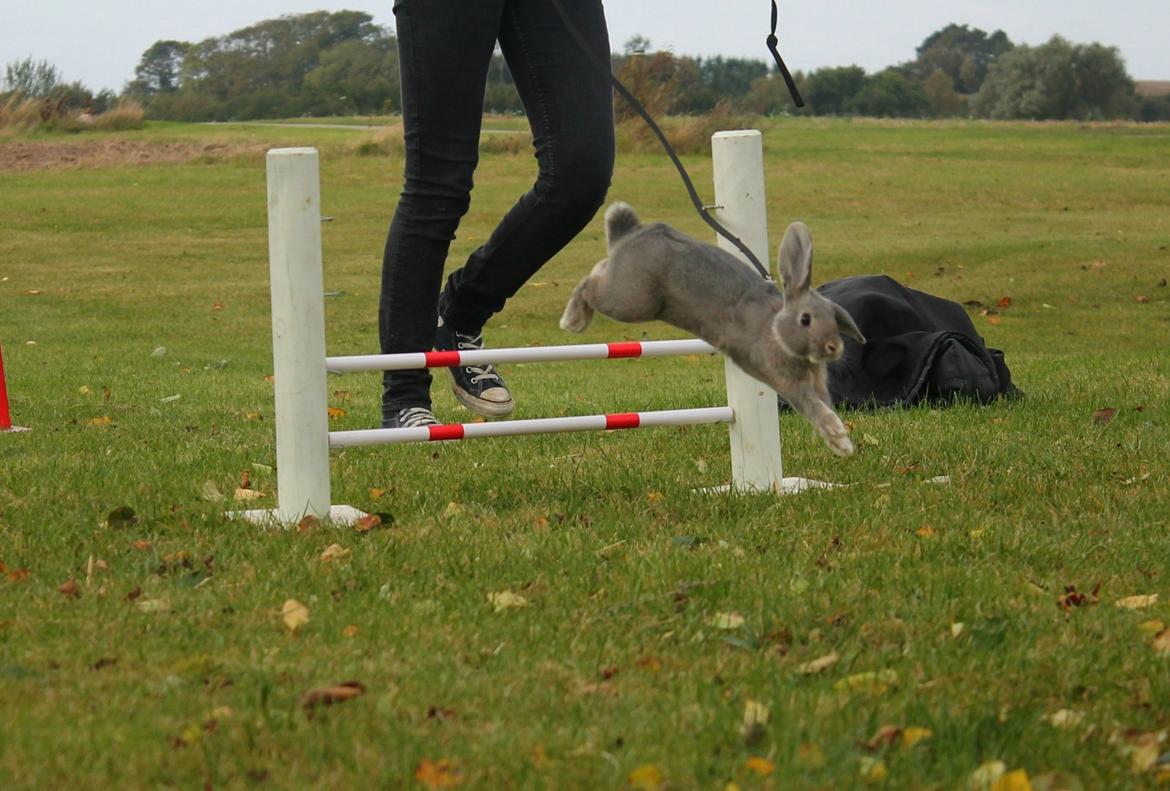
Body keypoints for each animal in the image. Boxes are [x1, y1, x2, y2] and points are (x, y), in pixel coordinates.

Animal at [561, 201, 865, 454]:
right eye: (806, 319)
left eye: (834, 315)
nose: (834, 348)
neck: (776, 331)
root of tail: (631, 233)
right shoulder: (789, 384)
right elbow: (814, 409)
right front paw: (841, 440)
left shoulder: (817, 386)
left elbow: (824, 406)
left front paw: (841, 443)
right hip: (629, 300)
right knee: (589, 283)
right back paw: (572, 320)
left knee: (599, 269)